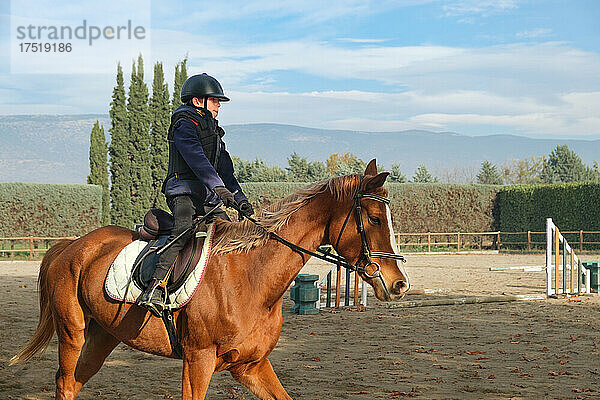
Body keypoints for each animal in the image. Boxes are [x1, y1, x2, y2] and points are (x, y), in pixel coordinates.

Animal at [11, 160, 410, 400]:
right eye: (374, 218)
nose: (399, 283)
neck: (251, 278)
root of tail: (71, 245)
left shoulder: (250, 365)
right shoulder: (198, 361)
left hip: (103, 335)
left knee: (74, 382)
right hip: (72, 333)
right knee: (65, 382)